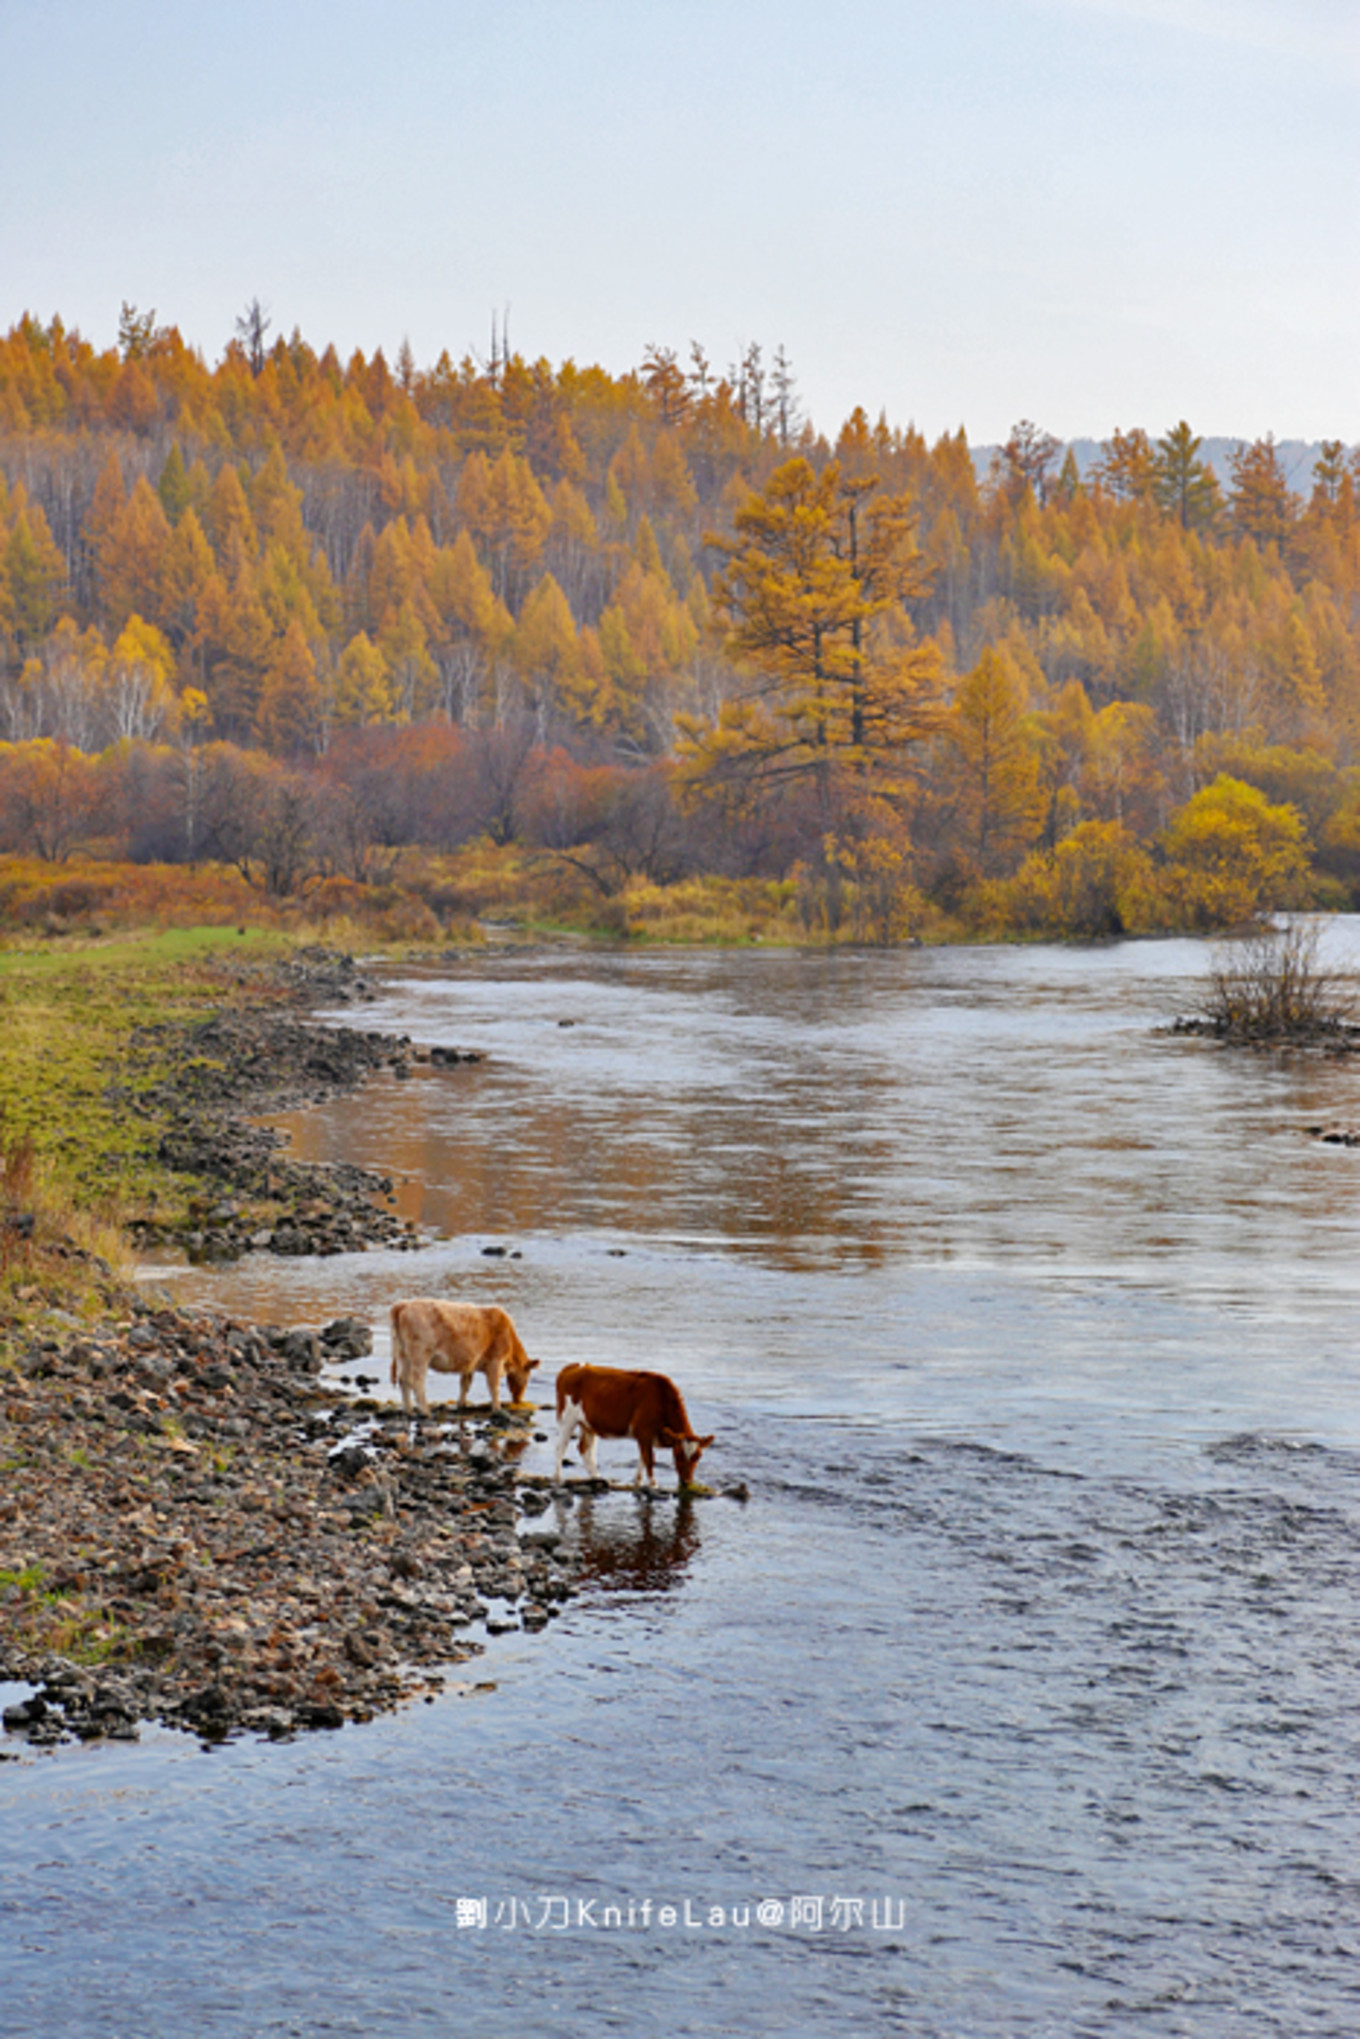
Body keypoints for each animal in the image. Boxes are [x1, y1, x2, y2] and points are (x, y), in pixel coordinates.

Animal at [387, 1304, 538, 1419]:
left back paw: (408, 1411)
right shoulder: (495, 1361)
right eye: (527, 1378)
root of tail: (404, 1304)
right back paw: (425, 1411)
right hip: (420, 1354)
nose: (518, 1399)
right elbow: (494, 1388)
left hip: (403, 1354)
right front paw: (497, 1408)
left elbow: (465, 1384)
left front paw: (461, 1403)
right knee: (416, 1381)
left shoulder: (469, 1364)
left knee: (403, 1379)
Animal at [550, 1362, 713, 1492]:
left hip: (588, 1424)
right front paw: (653, 1485)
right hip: (567, 1418)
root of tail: (573, 1366)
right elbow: (649, 1459)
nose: (686, 1482)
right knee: (560, 1447)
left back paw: (597, 1478)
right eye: (678, 1454)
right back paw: (558, 1478)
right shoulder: (644, 1432)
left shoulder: (644, 1437)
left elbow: (643, 1458)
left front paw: (637, 1481)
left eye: (698, 1456)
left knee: (585, 1449)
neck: (661, 1399)